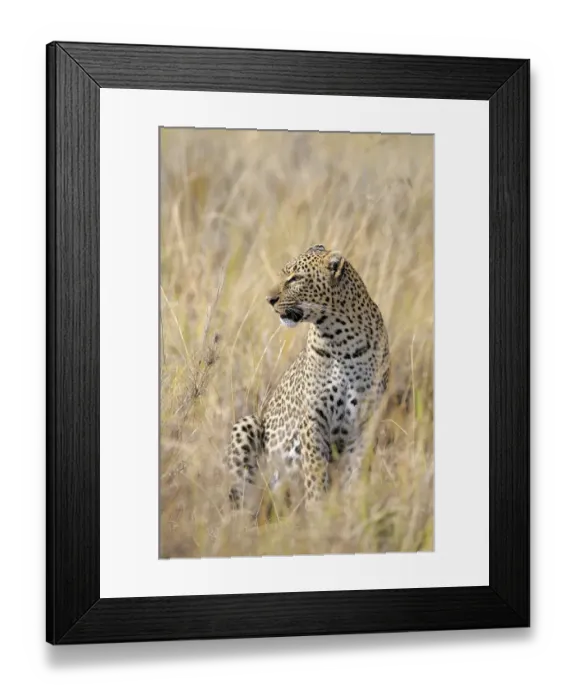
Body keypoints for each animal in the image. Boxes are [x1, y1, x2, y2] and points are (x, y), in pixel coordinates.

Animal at [225, 244, 390, 517]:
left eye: (296, 278)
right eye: (283, 274)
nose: (269, 300)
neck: (340, 340)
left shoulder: (366, 420)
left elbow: (355, 473)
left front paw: (351, 510)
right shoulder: (314, 417)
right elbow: (315, 472)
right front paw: (317, 513)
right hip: (247, 425)